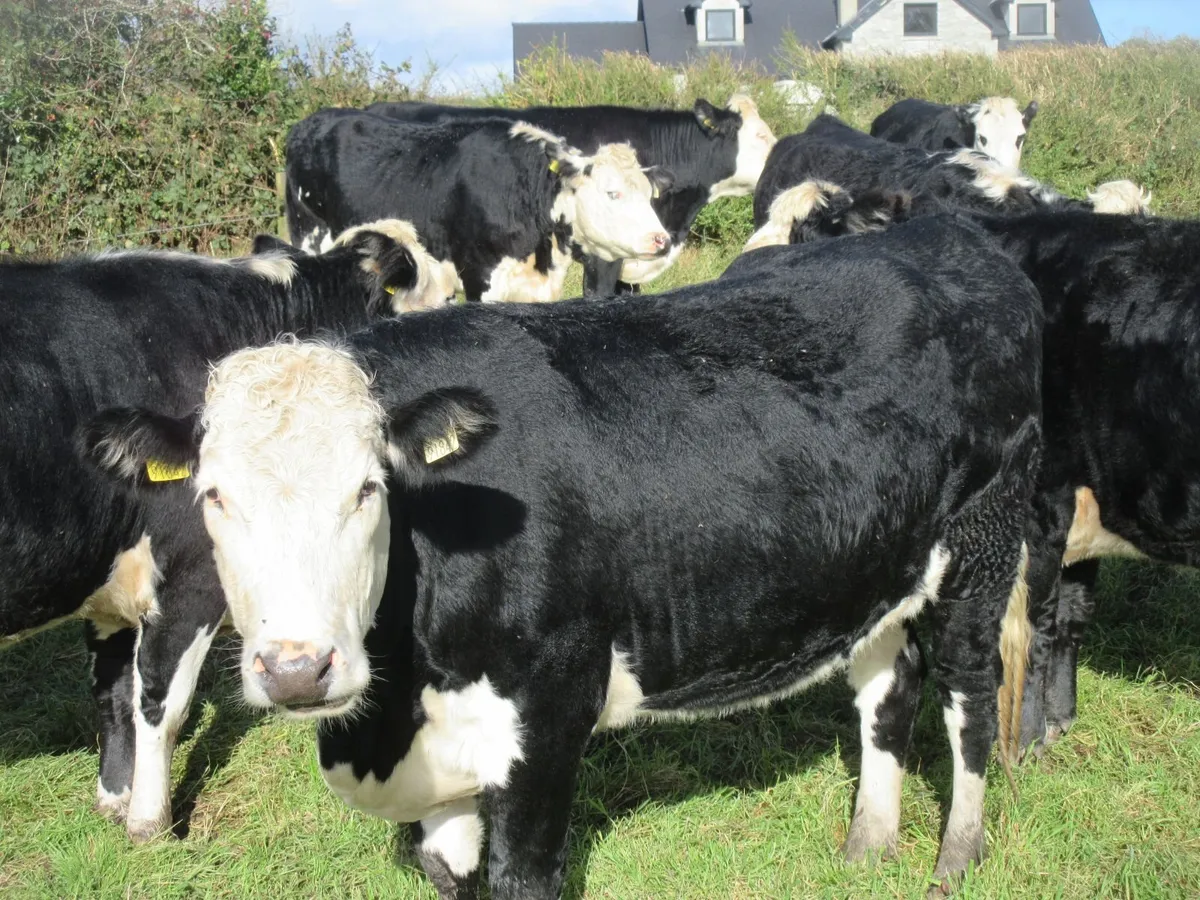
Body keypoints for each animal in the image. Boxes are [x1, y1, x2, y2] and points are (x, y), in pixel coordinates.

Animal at [0, 219, 442, 843]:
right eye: (413, 300)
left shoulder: (114, 582)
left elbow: (113, 692)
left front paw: (114, 798)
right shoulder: (191, 576)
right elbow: (160, 703)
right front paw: (150, 824)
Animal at [83, 215, 1043, 898]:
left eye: (368, 488)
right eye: (214, 495)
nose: (295, 669)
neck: (389, 721)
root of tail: (950, 234)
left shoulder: (547, 720)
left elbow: (522, 875)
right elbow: (450, 874)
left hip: (983, 548)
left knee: (967, 696)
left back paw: (955, 858)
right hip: (880, 568)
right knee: (885, 690)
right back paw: (866, 846)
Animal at [286, 109, 675, 304]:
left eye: (649, 195)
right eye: (612, 193)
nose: (661, 239)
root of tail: (313, 122)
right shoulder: (480, 280)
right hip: (310, 236)